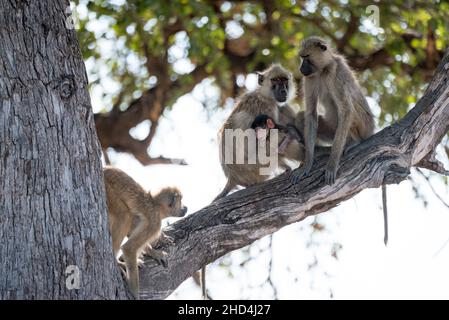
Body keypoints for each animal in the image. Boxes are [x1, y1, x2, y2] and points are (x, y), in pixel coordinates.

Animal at [103, 166, 187, 298]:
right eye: (181, 201)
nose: (185, 208)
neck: (155, 204)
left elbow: (132, 230)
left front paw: (154, 252)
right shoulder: (155, 222)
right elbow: (129, 247)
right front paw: (134, 293)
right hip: (108, 190)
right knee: (124, 215)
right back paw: (117, 263)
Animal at [290, 37, 384, 246]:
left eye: (306, 57)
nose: (300, 68)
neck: (323, 68)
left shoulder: (336, 71)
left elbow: (346, 110)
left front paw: (332, 165)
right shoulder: (309, 79)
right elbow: (310, 114)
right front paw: (307, 164)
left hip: (363, 125)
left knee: (348, 107)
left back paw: (353, 144)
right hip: (333, 130)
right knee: (302, 117)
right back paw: (322, 151)